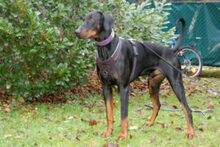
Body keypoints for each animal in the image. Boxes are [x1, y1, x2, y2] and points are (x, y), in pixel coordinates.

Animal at [75, 10, 194, 140]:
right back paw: (150, 123)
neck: (106, 49)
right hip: (153, 83)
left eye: (92, 19)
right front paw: (109, 132)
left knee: (187, 109)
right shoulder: (106, 86)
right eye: (83, 19)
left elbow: (123, 114)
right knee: (157, 105)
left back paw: (190, 132)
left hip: (175, 82)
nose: (76, 32)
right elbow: (109, 113)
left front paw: (123, 135)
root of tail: (171, 51)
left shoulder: (124, 87)